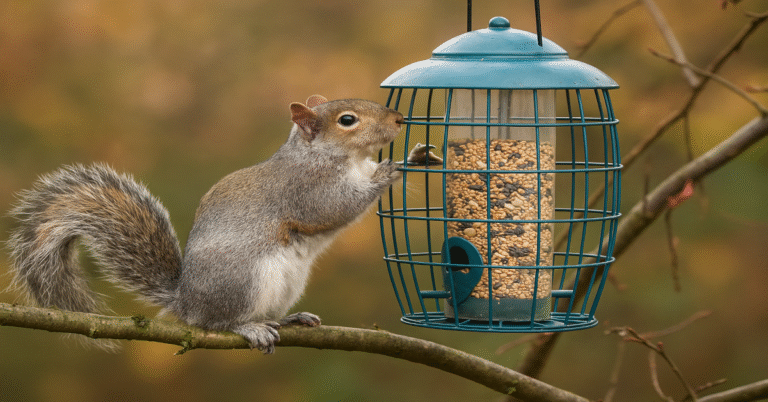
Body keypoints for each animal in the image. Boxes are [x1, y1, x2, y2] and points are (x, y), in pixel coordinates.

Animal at [6, 95, 403, 354]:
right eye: (347, 120)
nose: (399, 119)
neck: (334, 157)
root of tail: (185, 302)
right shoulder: (305, 189)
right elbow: (334, 208)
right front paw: (388, 170)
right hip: (244, 279)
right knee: (216, 322)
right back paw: (248, 327)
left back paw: (290, 320)